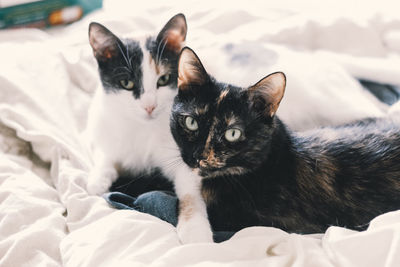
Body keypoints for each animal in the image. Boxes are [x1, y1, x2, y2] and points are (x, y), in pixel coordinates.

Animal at [86, 15, 214, 245]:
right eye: (126, 83)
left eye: (163, 79)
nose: (149, 106)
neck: (142, 128)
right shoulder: (98, 124)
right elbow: (104, 150)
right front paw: (98, 178)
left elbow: (190, 192)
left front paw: (195, 230)